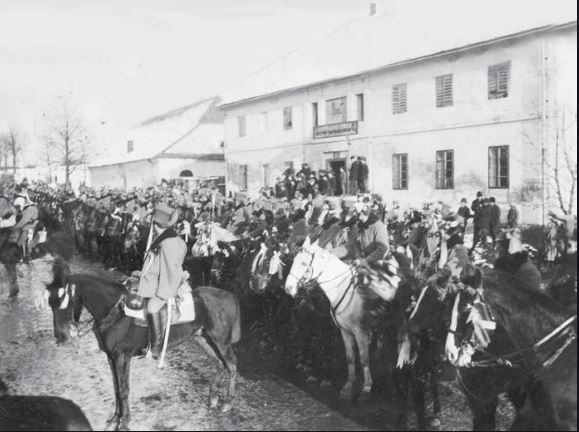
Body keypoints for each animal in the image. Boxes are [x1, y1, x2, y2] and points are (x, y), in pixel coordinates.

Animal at [46, 258, 242, 430]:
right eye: (50, 303)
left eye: (63, 301)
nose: (61, 337)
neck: (115, 311)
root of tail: (229, 296)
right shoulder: (111, 357)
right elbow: (116, 388)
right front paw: (114, 419)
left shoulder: (122, 357)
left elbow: (123, 389)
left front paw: (124, 423)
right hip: (204, 338)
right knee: (219, 363)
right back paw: (213, 399)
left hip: (220, 340)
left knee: (231, 365)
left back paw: (227, 403)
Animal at [286, 238, 404, 400]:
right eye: (294, 260)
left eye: (304, 263)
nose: (288, 288)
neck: (341, 289)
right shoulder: (345, 331)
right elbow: (350, 357)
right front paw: (349, 386)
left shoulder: (361, 333)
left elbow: (364, 359)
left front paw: (367, 387)